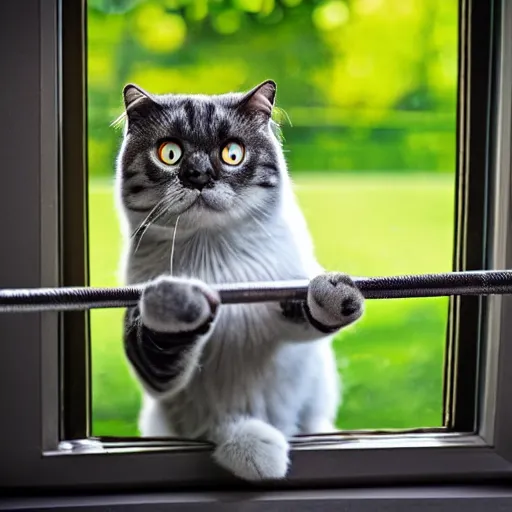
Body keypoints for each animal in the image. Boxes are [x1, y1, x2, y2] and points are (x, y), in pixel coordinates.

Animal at [116, 80, 364, 480]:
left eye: (232, 153)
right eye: (169, 153)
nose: (198, 176)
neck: (215, 255)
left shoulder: (280, 292)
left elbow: (304, 308)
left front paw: (333, 296)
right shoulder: (153, 362)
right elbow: (159, 336)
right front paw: (175, 301)